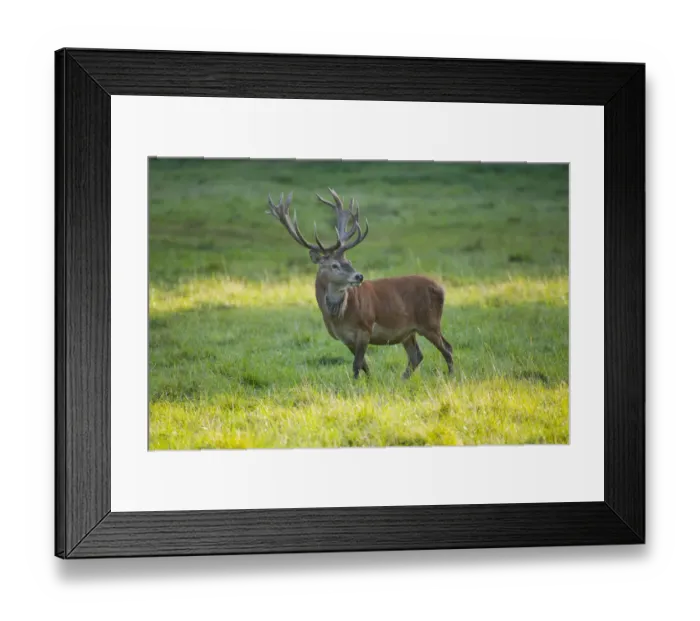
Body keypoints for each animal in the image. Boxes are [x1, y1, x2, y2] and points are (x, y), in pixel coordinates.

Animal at [266, 189, 453, 380]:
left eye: (348, 261)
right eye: (334, 265)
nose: (359, 276)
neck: (339, 317)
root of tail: (442, 289)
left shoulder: (365, 328)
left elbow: (357, 364)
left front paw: (358, 384)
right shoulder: (345, 338)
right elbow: (364, 365)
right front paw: (370, 381)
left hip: (430, 321)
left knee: (447, 348)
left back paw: (451, 375)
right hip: (408, 331)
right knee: (416, 355)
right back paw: (402, 380)